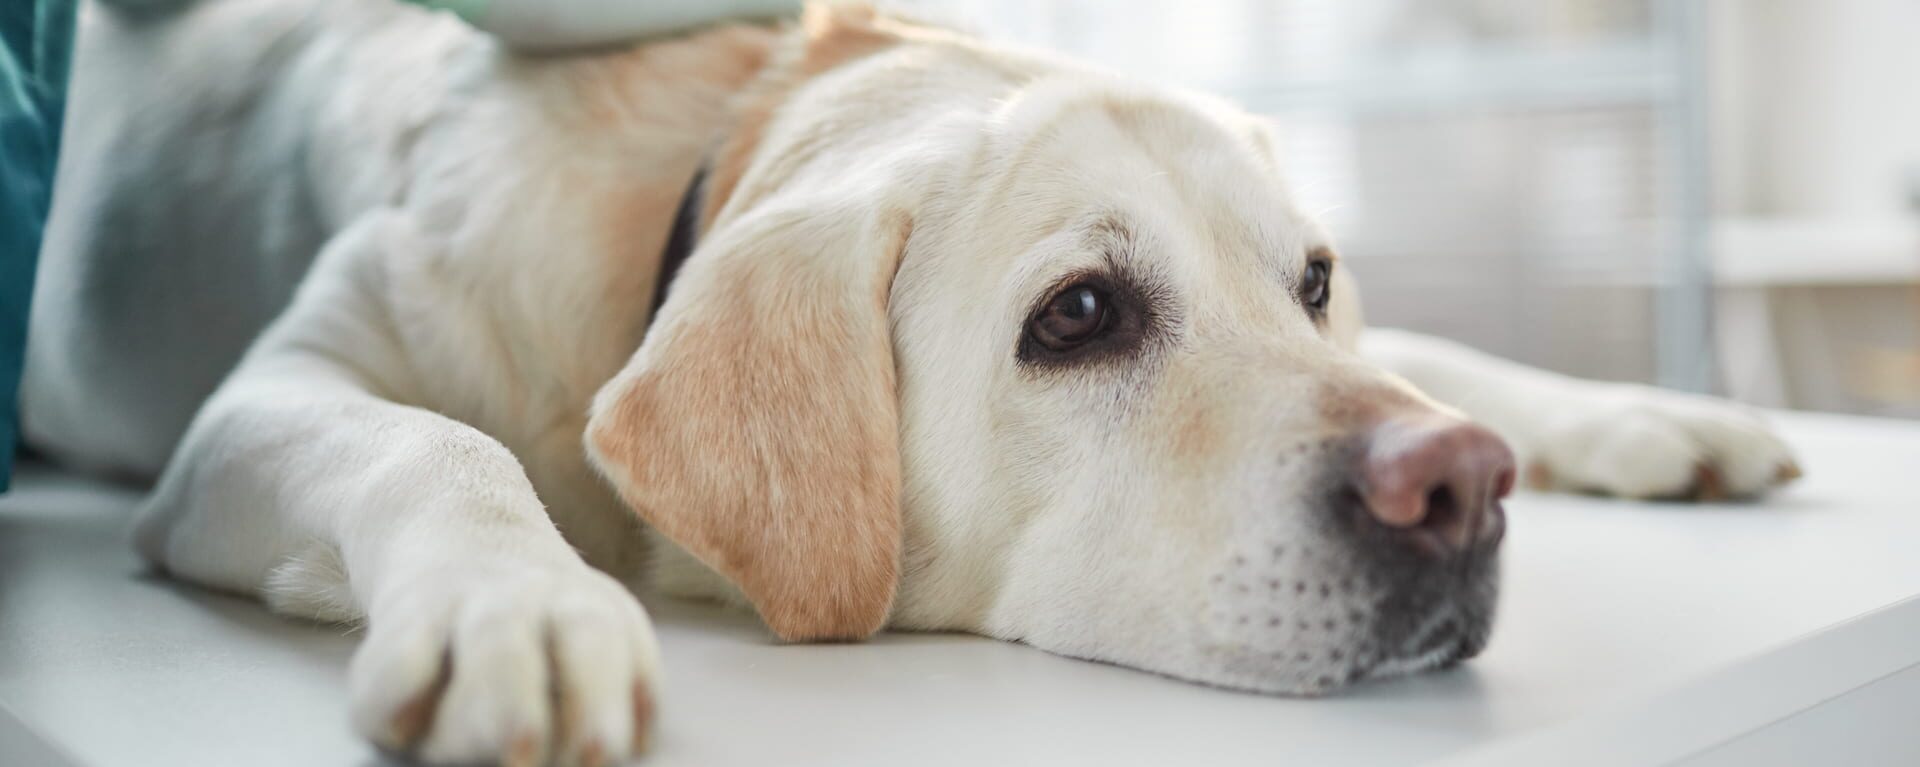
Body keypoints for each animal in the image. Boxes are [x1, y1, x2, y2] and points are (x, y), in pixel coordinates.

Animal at [26, 3, 1797, 765]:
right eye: (1078, 314)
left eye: (1311, 280)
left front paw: (1654, 413)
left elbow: (1427, 345)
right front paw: (516, 606)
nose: (1464, 486)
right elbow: (435, 440)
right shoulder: (263, 403)